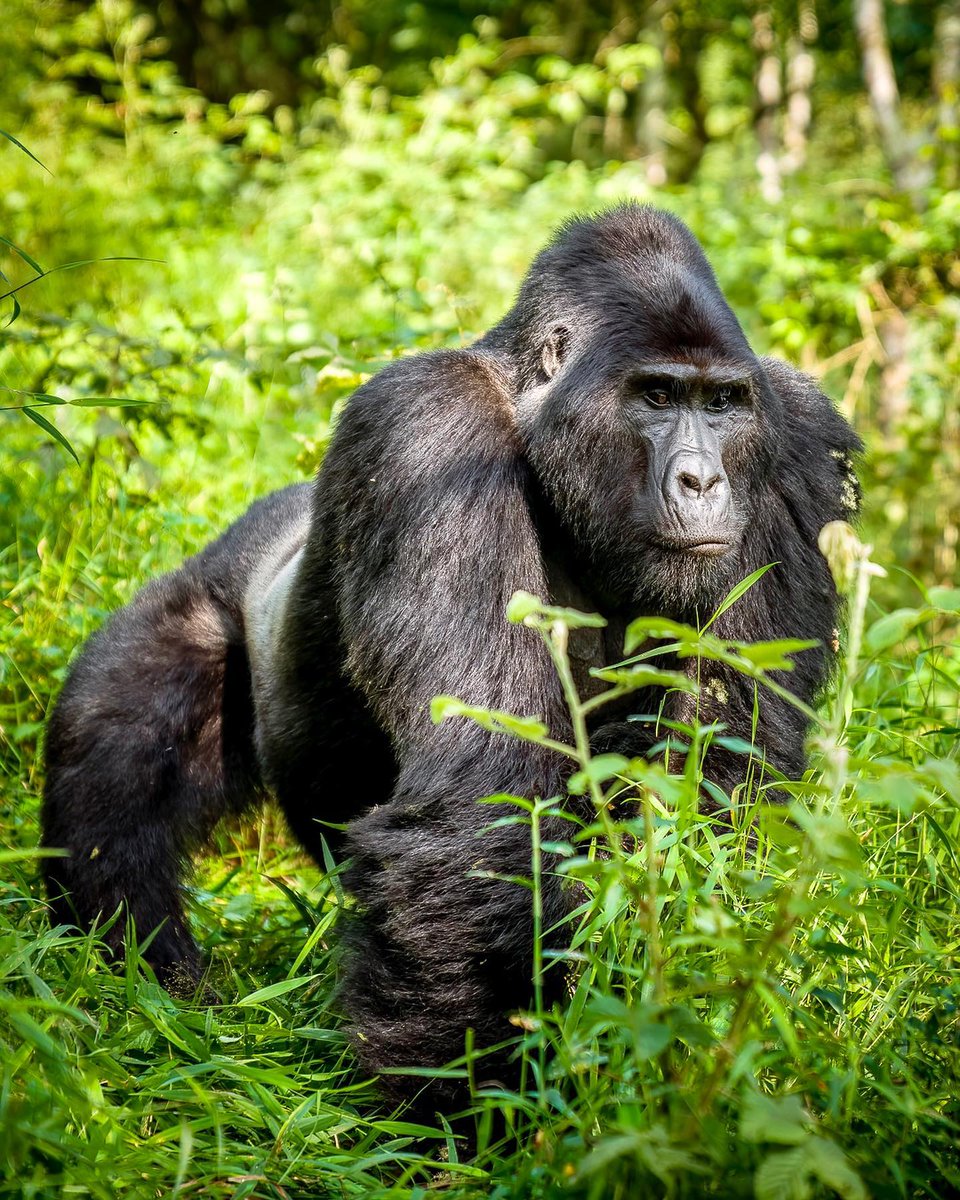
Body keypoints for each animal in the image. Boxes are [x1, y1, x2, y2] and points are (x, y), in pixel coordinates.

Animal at [41, 204, 859, 1104]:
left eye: (723, 404)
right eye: (656, 395)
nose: (703, 482)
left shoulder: (796, 440)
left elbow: (723, 780)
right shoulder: (427, 431)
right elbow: (484, 801)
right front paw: (462, 1102)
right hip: (203, 595)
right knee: (115, 774)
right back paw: (145, 981)